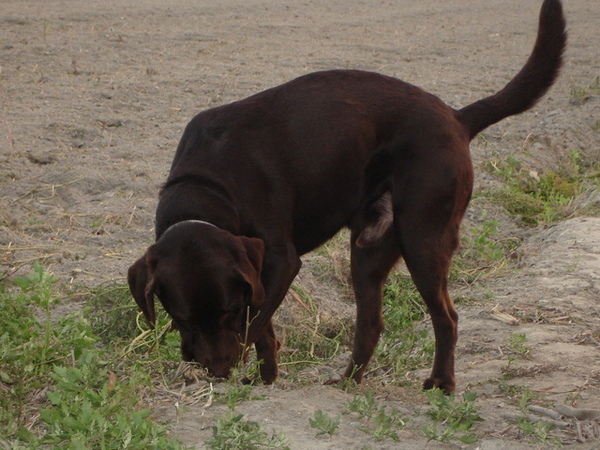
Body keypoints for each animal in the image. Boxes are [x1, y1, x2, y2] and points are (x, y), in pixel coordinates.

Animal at [129, 0, 564, 392]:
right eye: (183, 319)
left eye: (229, 311)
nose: (219, 370)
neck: (208, 184)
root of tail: (456, 118)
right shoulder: (255, 273)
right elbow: (262, 324)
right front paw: (265, 376)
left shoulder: (278, 263)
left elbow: (256, 324)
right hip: (369, 251)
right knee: (371, 322)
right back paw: (348, 380)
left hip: (423, 240)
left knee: (447, 317)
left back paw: (441, 381)